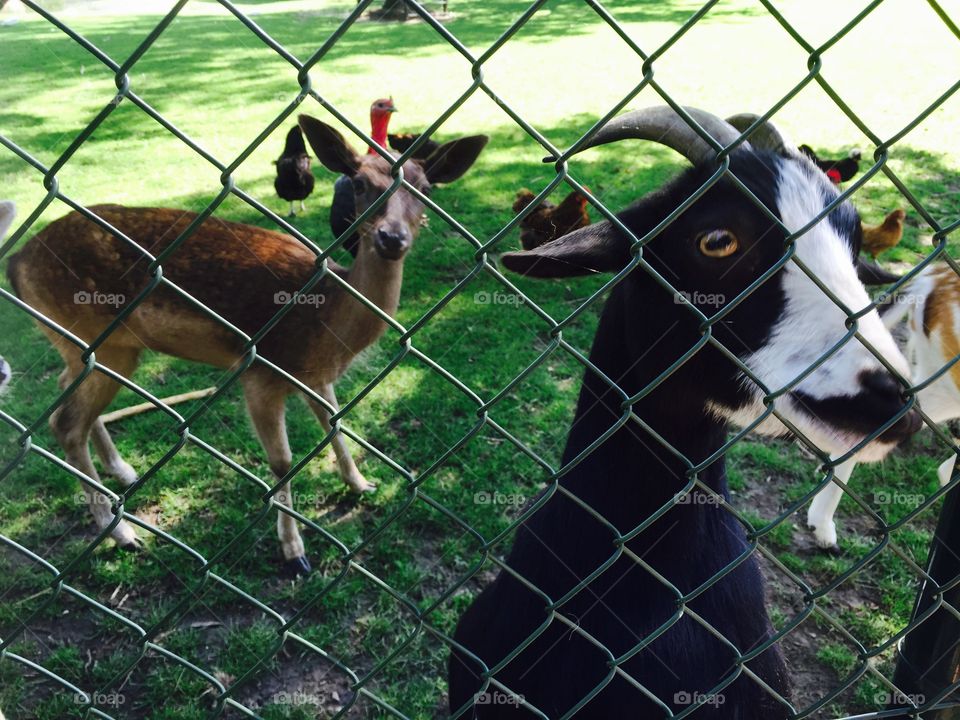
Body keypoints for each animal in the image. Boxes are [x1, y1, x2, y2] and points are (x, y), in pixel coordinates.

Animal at [5, 115, 488, 572]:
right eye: (359, 183)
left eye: (426, 188)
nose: (392, 237)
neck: (327, 323)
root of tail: (16, 264)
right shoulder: (260, 372)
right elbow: (283, 462)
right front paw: (294, 552)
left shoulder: (315, 375)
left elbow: (334, 422)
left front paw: (360, 483)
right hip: (92, 336)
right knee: (66, 423)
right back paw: (122, 533)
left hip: (97, 346)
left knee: (67, 393)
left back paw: (122, 471)